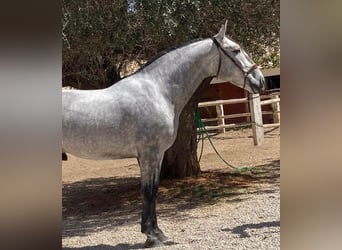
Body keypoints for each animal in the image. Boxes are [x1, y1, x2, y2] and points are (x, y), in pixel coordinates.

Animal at [62, 22, 264, 248]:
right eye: (236, 50)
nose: (261, 81)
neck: (158, 91)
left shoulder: (157, 155)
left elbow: (154, 190)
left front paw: (156, 232)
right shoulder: (150, 154)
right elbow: (148, 191)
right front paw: (152, 235)